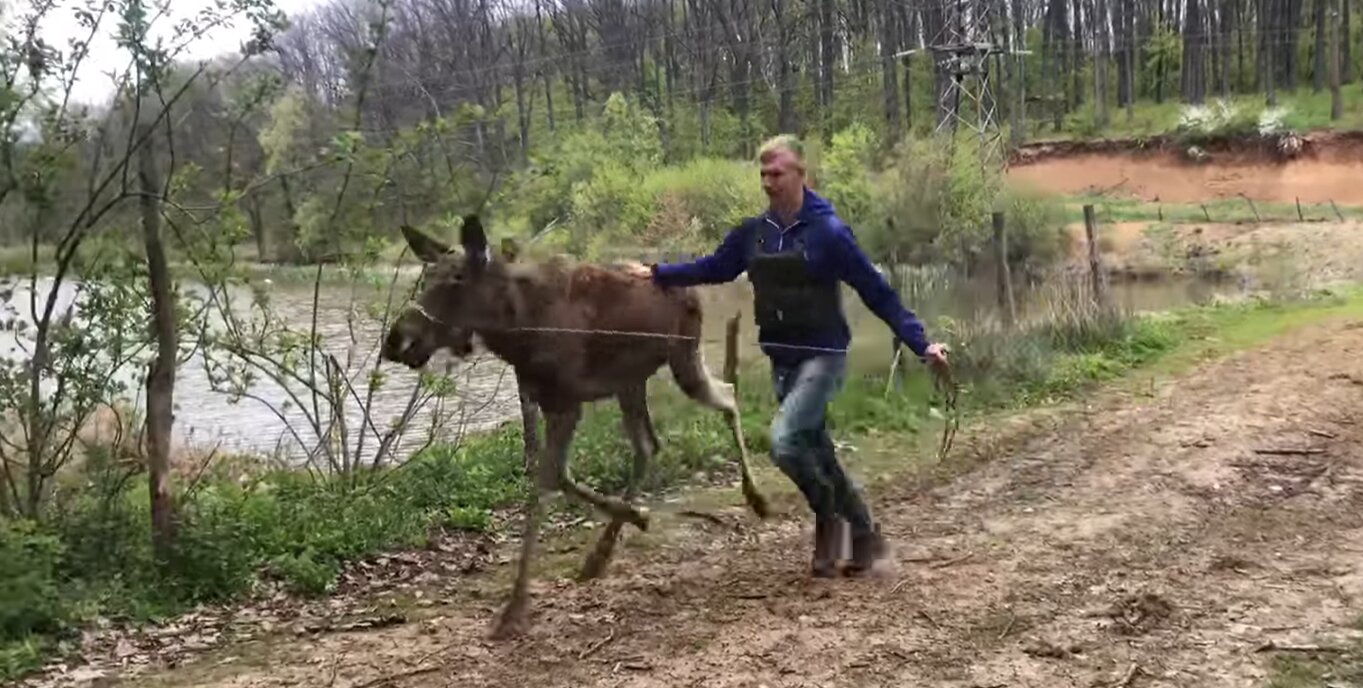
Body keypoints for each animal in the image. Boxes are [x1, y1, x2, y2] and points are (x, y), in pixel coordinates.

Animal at [378, 215, 774, 637]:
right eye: (424, 276)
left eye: (457, 278)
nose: (398, 341)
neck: (516, 328)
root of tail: (693, 292)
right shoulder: (550, 400)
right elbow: (559, 475)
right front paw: (636, 516)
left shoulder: (567, 403)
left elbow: (545, 484)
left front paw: (515, 607)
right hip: (630, 381)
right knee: (649, 444)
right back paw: (603, 551)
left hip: (683, 358)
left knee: (727, 396)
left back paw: (756, 497)